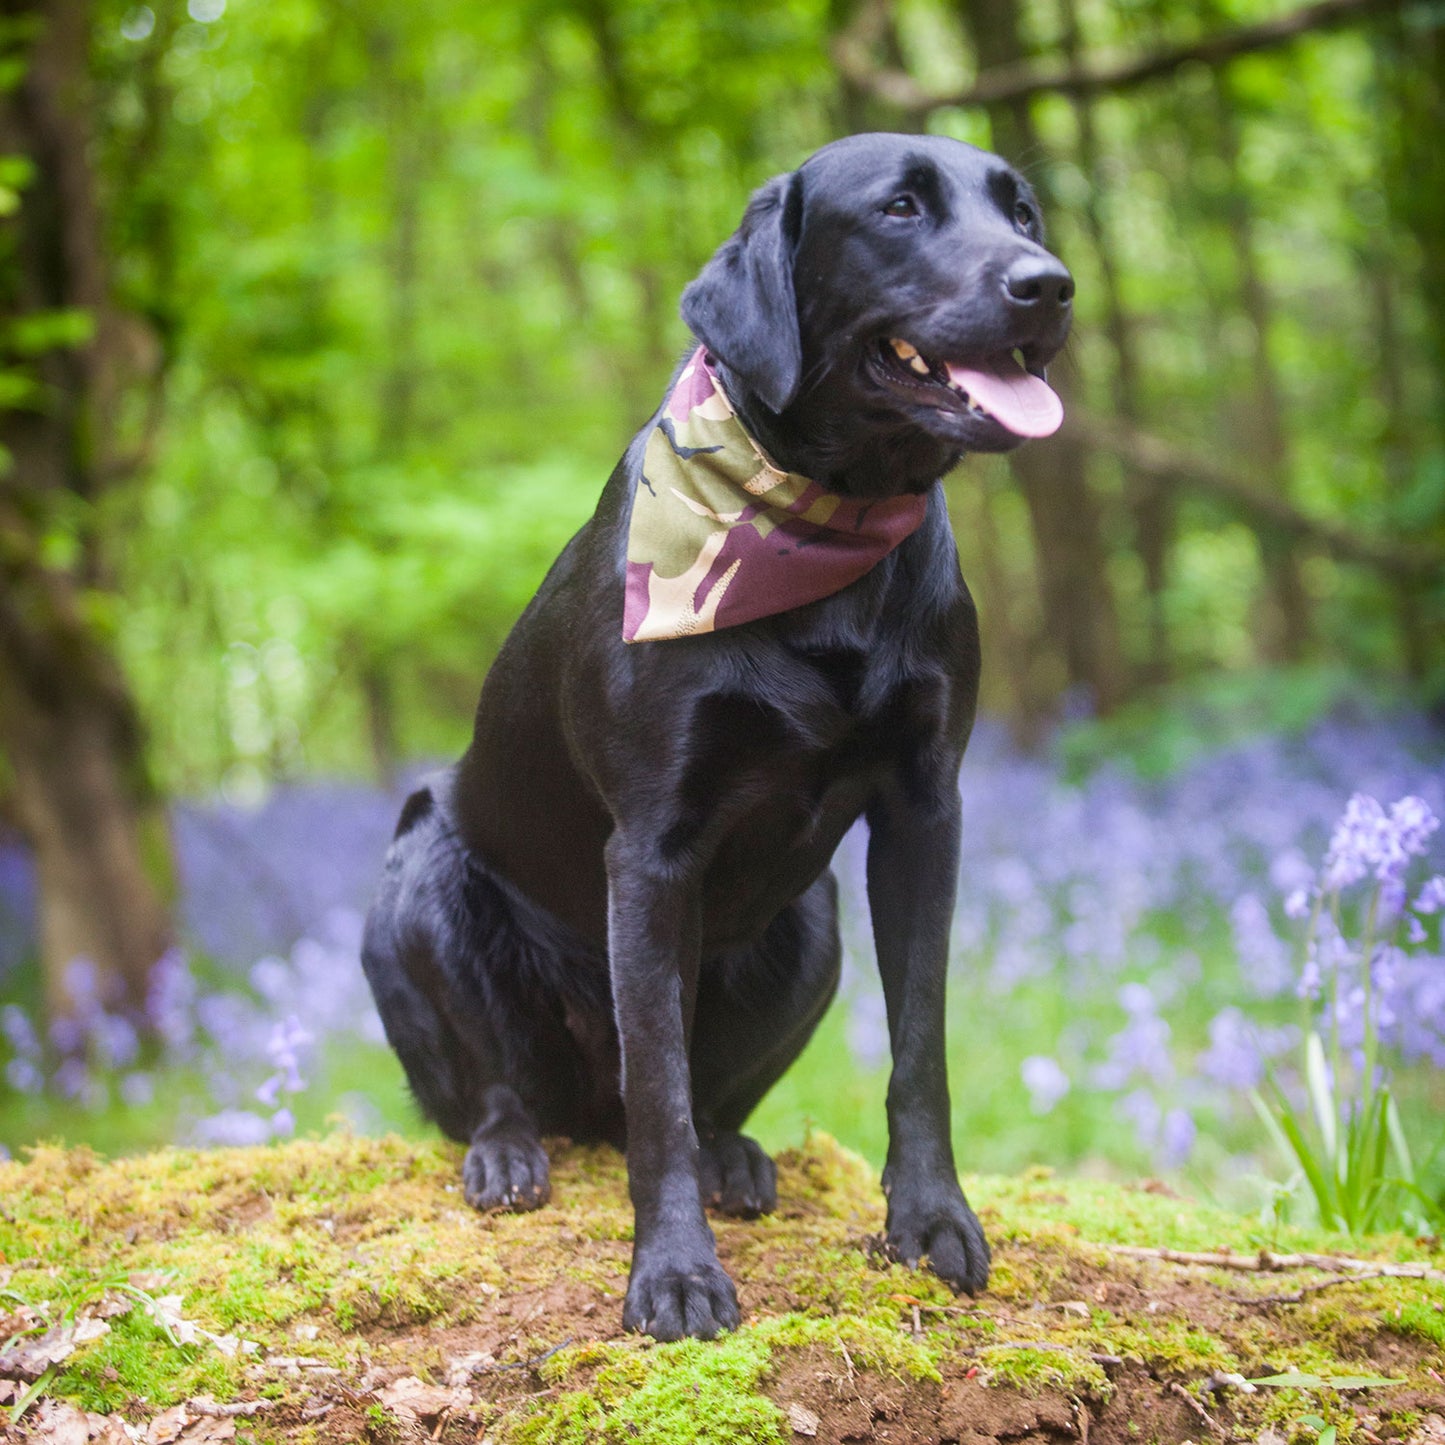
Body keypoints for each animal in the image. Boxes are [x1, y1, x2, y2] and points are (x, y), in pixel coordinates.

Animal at [361, 132, 1075, 1340]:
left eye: (1018, 210)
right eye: (898, 209)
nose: (1049, 284)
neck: (826, 523)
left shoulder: (924, 810)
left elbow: (917, 1046)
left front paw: (930, 1219)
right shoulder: (651, 848)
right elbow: (656, 1088)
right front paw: (674, 1273)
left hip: (812, 921)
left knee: (712, 1096)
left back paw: (734, 1155)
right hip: (416, 880)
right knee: (504, 1092)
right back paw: (509, 1156)